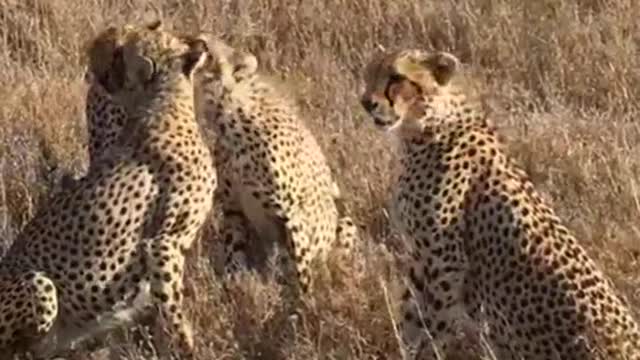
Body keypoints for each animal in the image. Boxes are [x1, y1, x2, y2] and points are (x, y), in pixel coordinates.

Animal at [0, 21, 216, 358]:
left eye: (118, 54)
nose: (202, 43)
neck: (164, 101)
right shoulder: (162, 242)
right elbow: (171, 311)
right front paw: (186, 348)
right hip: (39, 284)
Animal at [194, 38, 360, 292]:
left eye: (205, 45)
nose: (191, 41)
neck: (230, 118)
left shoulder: (293, 214)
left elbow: (303, 270)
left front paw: (304, 299)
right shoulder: (232, 207)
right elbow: (234, 252)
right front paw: (235, 286)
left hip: (342, 219)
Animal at [360, 48, 640, 360]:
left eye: (396, 78)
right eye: (369, 73)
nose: (367, 103)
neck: (430, 123)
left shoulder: (444, 263)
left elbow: (431, 323)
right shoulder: (421, 257)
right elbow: (411, 317)